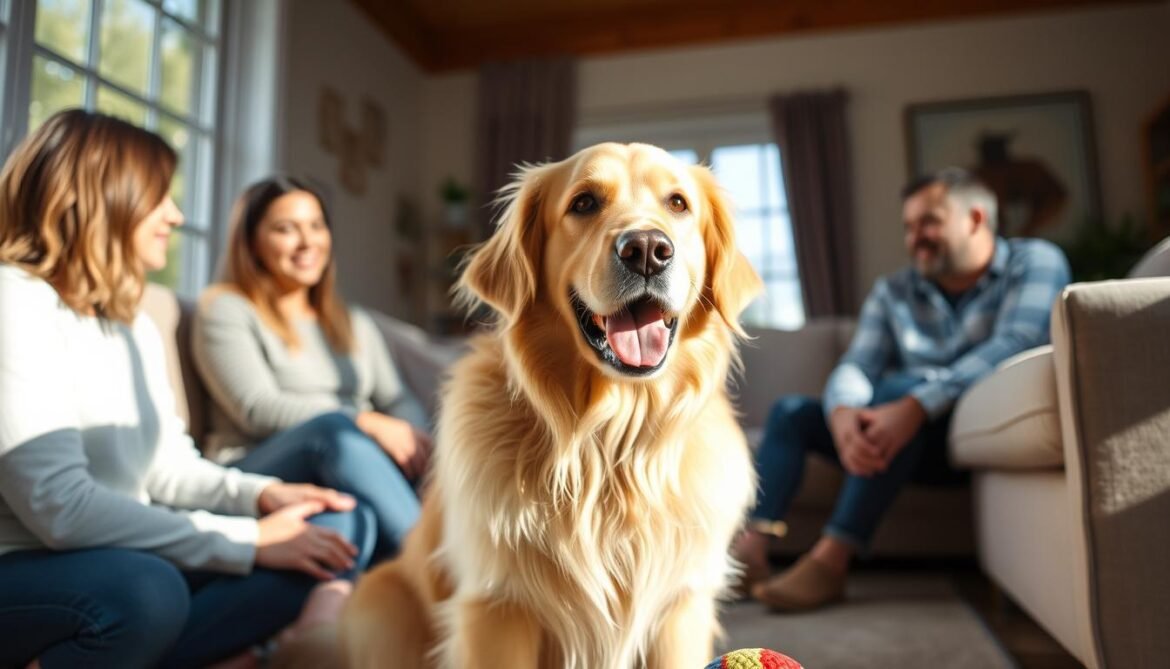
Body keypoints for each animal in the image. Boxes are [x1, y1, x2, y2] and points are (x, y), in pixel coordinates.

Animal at [341, 143, 762, 664]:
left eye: (678, 203)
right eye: (584, 203)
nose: (647, 250)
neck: (609, 441)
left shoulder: (681, 606)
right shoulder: (497, 607)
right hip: (380, 606)